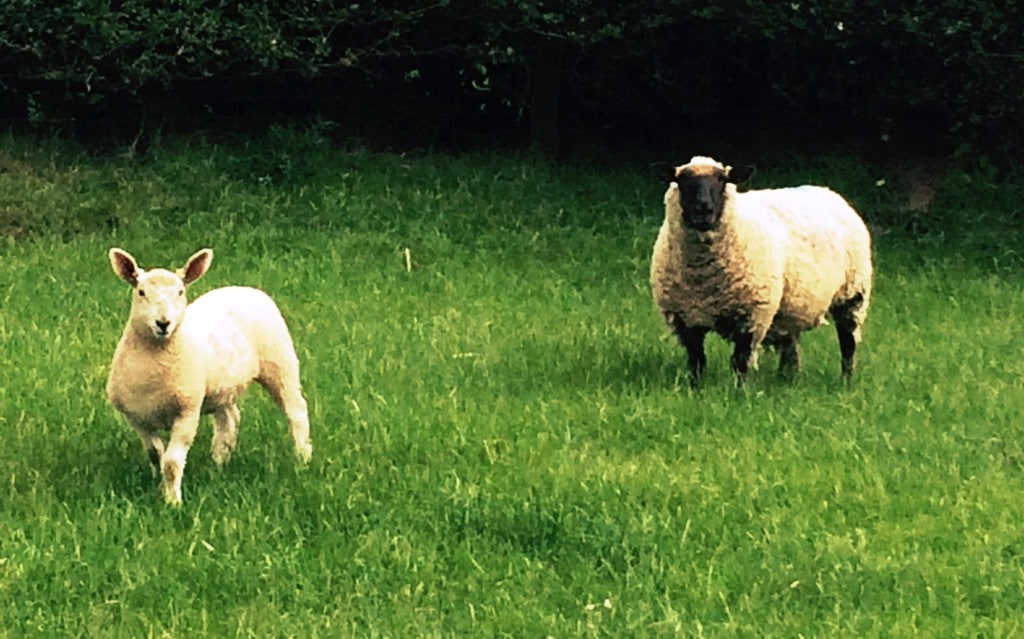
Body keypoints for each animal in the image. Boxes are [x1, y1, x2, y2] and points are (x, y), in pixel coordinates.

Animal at [104, 248, 313, 503]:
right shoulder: (137, 417)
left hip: (280, 361)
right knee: (230, 419)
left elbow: (171, 463)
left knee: (296, 411)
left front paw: (172, 501)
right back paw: (219, 462)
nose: (163, 323)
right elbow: (155, 455)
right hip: (221, 387)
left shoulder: (187, 412)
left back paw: (302, 458)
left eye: (181, 292)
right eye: (141, 292)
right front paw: (158, 485)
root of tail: (246, 289)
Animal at [651, 155, 868, 385]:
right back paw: (788, 381)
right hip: (790, 306)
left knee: (848, 344)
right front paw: (696, 388)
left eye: (722, 179)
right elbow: (697, 361)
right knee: (791, 346)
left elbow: (740, 361)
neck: (703, 278)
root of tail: (828, 192)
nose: (703, 210)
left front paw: (738, 390)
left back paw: (846, 382)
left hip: (853, 294)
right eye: (682, 179)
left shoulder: (752, 315)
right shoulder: (686, 319)